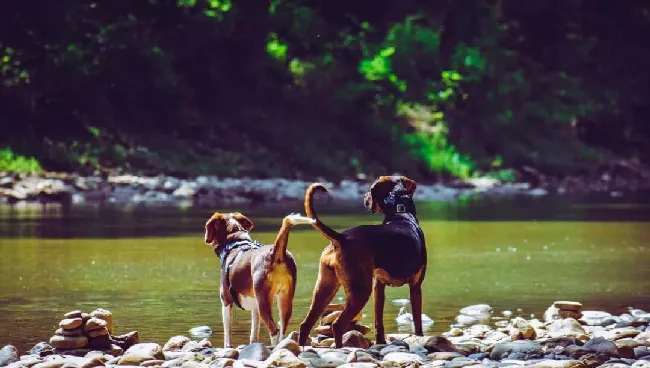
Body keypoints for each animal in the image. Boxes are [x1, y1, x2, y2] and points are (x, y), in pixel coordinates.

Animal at [202, 211, 314, 346]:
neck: (235, 242)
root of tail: (275, 252)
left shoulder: (226, 301)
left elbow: (227, 334)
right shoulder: (255, 307)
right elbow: (254, 333)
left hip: (263, 303)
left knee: (274, 330)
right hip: (285, 300)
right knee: (282, 330)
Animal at [298, 175, 426, 348]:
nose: (364, 199)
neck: (401, 212)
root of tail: (341, 238)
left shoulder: (378, 286)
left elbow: (379, 321)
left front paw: (380, 342)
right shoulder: (416, 287)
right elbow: (417, 321)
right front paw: (420, 337)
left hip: (325, 287)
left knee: (305, 324)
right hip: (360, 290)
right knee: (337, 325)